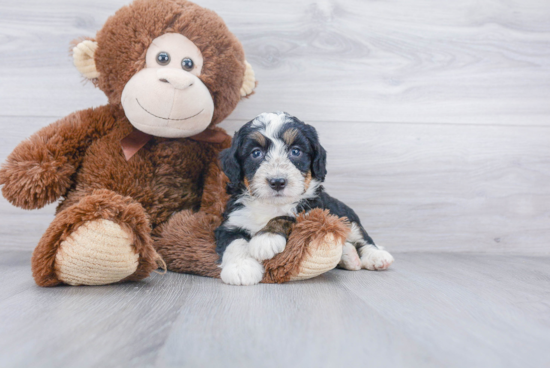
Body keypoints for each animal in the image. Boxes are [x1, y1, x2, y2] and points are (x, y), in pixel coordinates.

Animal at [217, 113, 396, 286]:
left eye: (296, 151)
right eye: (255, 153)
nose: (277, 182)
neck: (271, 205)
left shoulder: (313, 211)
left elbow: (287, 216)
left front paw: (266, 237)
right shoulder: (231, 221)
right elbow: (235, 242)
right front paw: (241, 268)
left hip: (344, 215)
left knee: (362, 237)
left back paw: (376, 256)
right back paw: (349, 256)